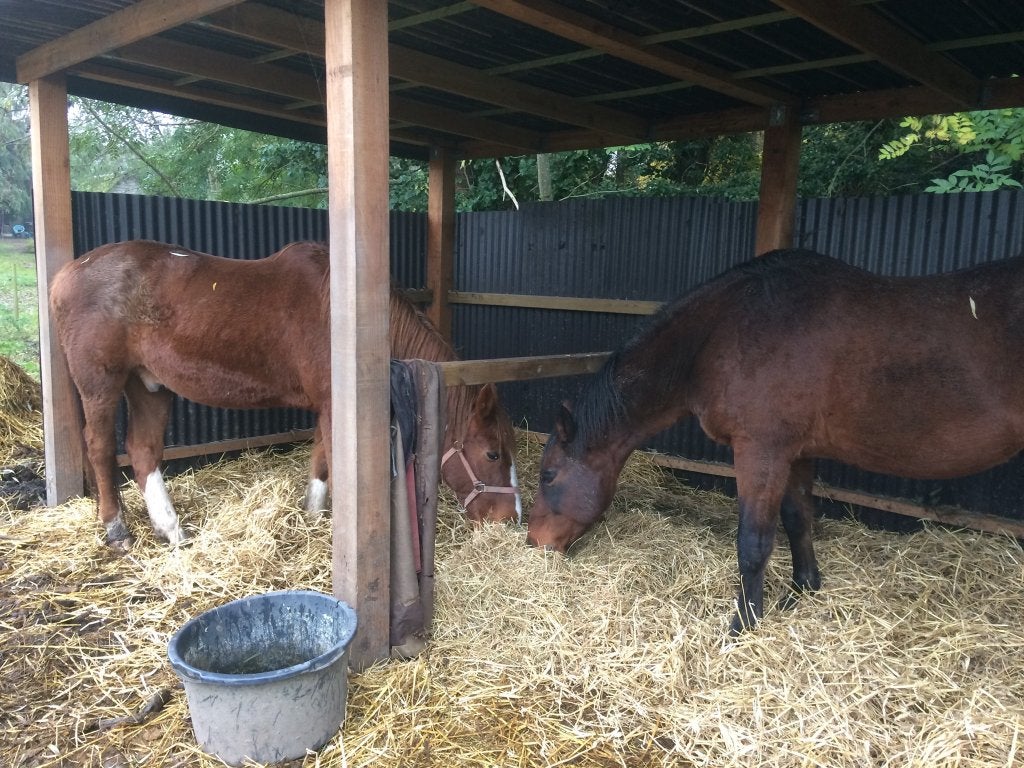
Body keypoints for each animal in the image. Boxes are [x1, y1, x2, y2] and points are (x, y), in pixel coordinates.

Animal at [49, 240, 519, 549]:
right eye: (492, 453)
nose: (509, 518)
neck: (344, 319)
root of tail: (64, 275)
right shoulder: (334, 406)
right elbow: (333, 463)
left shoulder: (328, 406)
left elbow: (321, 462)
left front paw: (312, 515)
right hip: (102, 384)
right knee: (100, 448)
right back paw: (117, 529)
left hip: (149, 384)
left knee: (143, 448)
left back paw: (171, 529)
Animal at [527, 248, 1024, 635]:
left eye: (548, 475)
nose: (534, 544)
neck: (724, 332)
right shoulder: (796, 453)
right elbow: (798, 520)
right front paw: (802, 590)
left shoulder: (760, 451)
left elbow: (754, 542)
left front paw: (743, 624)